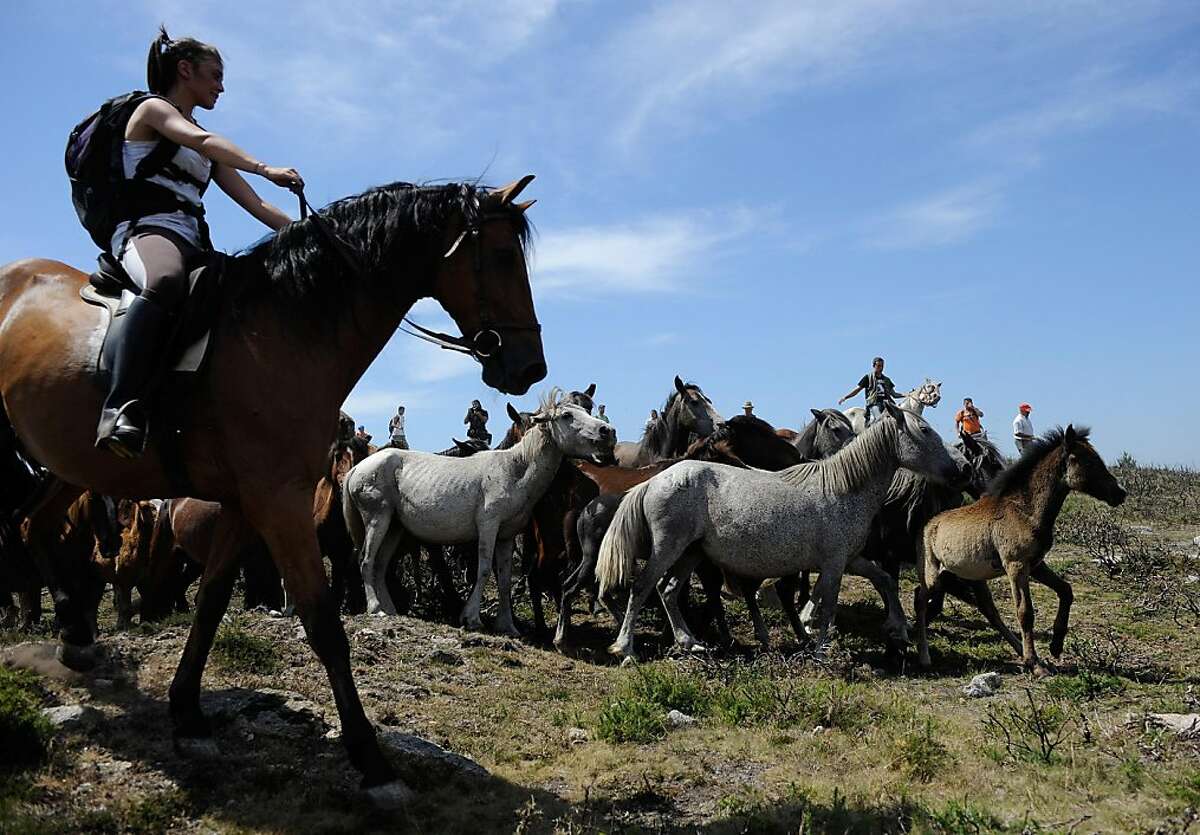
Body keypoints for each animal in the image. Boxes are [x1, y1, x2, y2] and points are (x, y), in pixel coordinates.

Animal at [0, 177, 544, 796]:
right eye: (501, 256)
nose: (531, 368)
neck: (281, 332)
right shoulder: (279, 502)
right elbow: (323, 621)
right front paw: (370, 757)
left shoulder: (244, 504)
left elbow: (212, 601)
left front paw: (187, 710)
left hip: (69, 464)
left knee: (33, 523)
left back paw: (72, 631)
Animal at [340, 391, 614, 633]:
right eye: (567, 415)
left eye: (587, 410)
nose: (607, 431)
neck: (514, 470)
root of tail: (356, 469)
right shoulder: (488, 527)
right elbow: (483, 571)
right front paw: (471, 618)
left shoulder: (506, 536)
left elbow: (504, 579)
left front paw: (507, 626)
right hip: (377, 519)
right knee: (366, 560)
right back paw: (375, 608)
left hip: (394, 526)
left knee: (380, 565)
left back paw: (389, 609)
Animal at [595, 405, 960, 657]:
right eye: (925, 430)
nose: (957, 470)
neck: (843, 489)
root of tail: (654, 480)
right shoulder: (833, 564)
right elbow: (827, 605)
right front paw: (819, 649)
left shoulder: (850, 559)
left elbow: (883, 581)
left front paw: (898, 630)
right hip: (668, 548)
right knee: (643, 586)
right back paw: (625, 648)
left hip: (691, 552)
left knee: (667, 590)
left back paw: (690, 642)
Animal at [916, 427, 1123, 676]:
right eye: (1089, 461)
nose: (1120, 493)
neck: (1025, 510)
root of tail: (927, 525)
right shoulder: (1016, 566)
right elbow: (1025, 612)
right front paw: (1035, 664)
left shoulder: (1036, 565)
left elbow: (1066, 590)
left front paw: (1055, 646)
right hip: (933, 574)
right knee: (921, 600)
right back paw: (923, 656)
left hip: (962, 575)